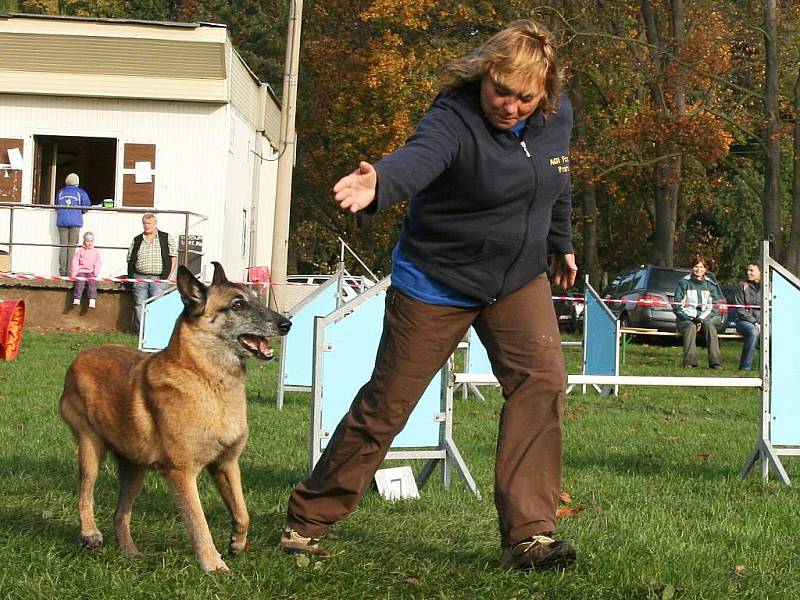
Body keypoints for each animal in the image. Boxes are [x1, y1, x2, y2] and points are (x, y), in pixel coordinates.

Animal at [59, 262, 292, 572]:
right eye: (238, 305)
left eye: (255, 297)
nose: (286, 324)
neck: (208, 379)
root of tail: (82, 355)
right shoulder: (183, 474)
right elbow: (199, 523)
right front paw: (213, 565)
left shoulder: (226, 465)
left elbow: (243, 513)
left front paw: (237, 543)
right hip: (90, 448)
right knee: (85, 494)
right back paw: (89, 533)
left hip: (135, 470)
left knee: (120, 513)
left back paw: (130, 551)